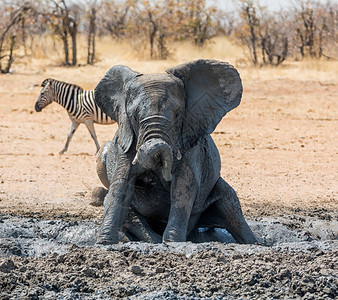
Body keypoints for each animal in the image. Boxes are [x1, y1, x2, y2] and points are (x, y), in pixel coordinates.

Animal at [93, 58, 258, 244]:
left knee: (231, 206)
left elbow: (183, 187)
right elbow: (121, 185)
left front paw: (172, 242)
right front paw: (103, 242)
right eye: (134, 117)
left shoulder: (190, 143)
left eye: (178, 115)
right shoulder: (126, 140)